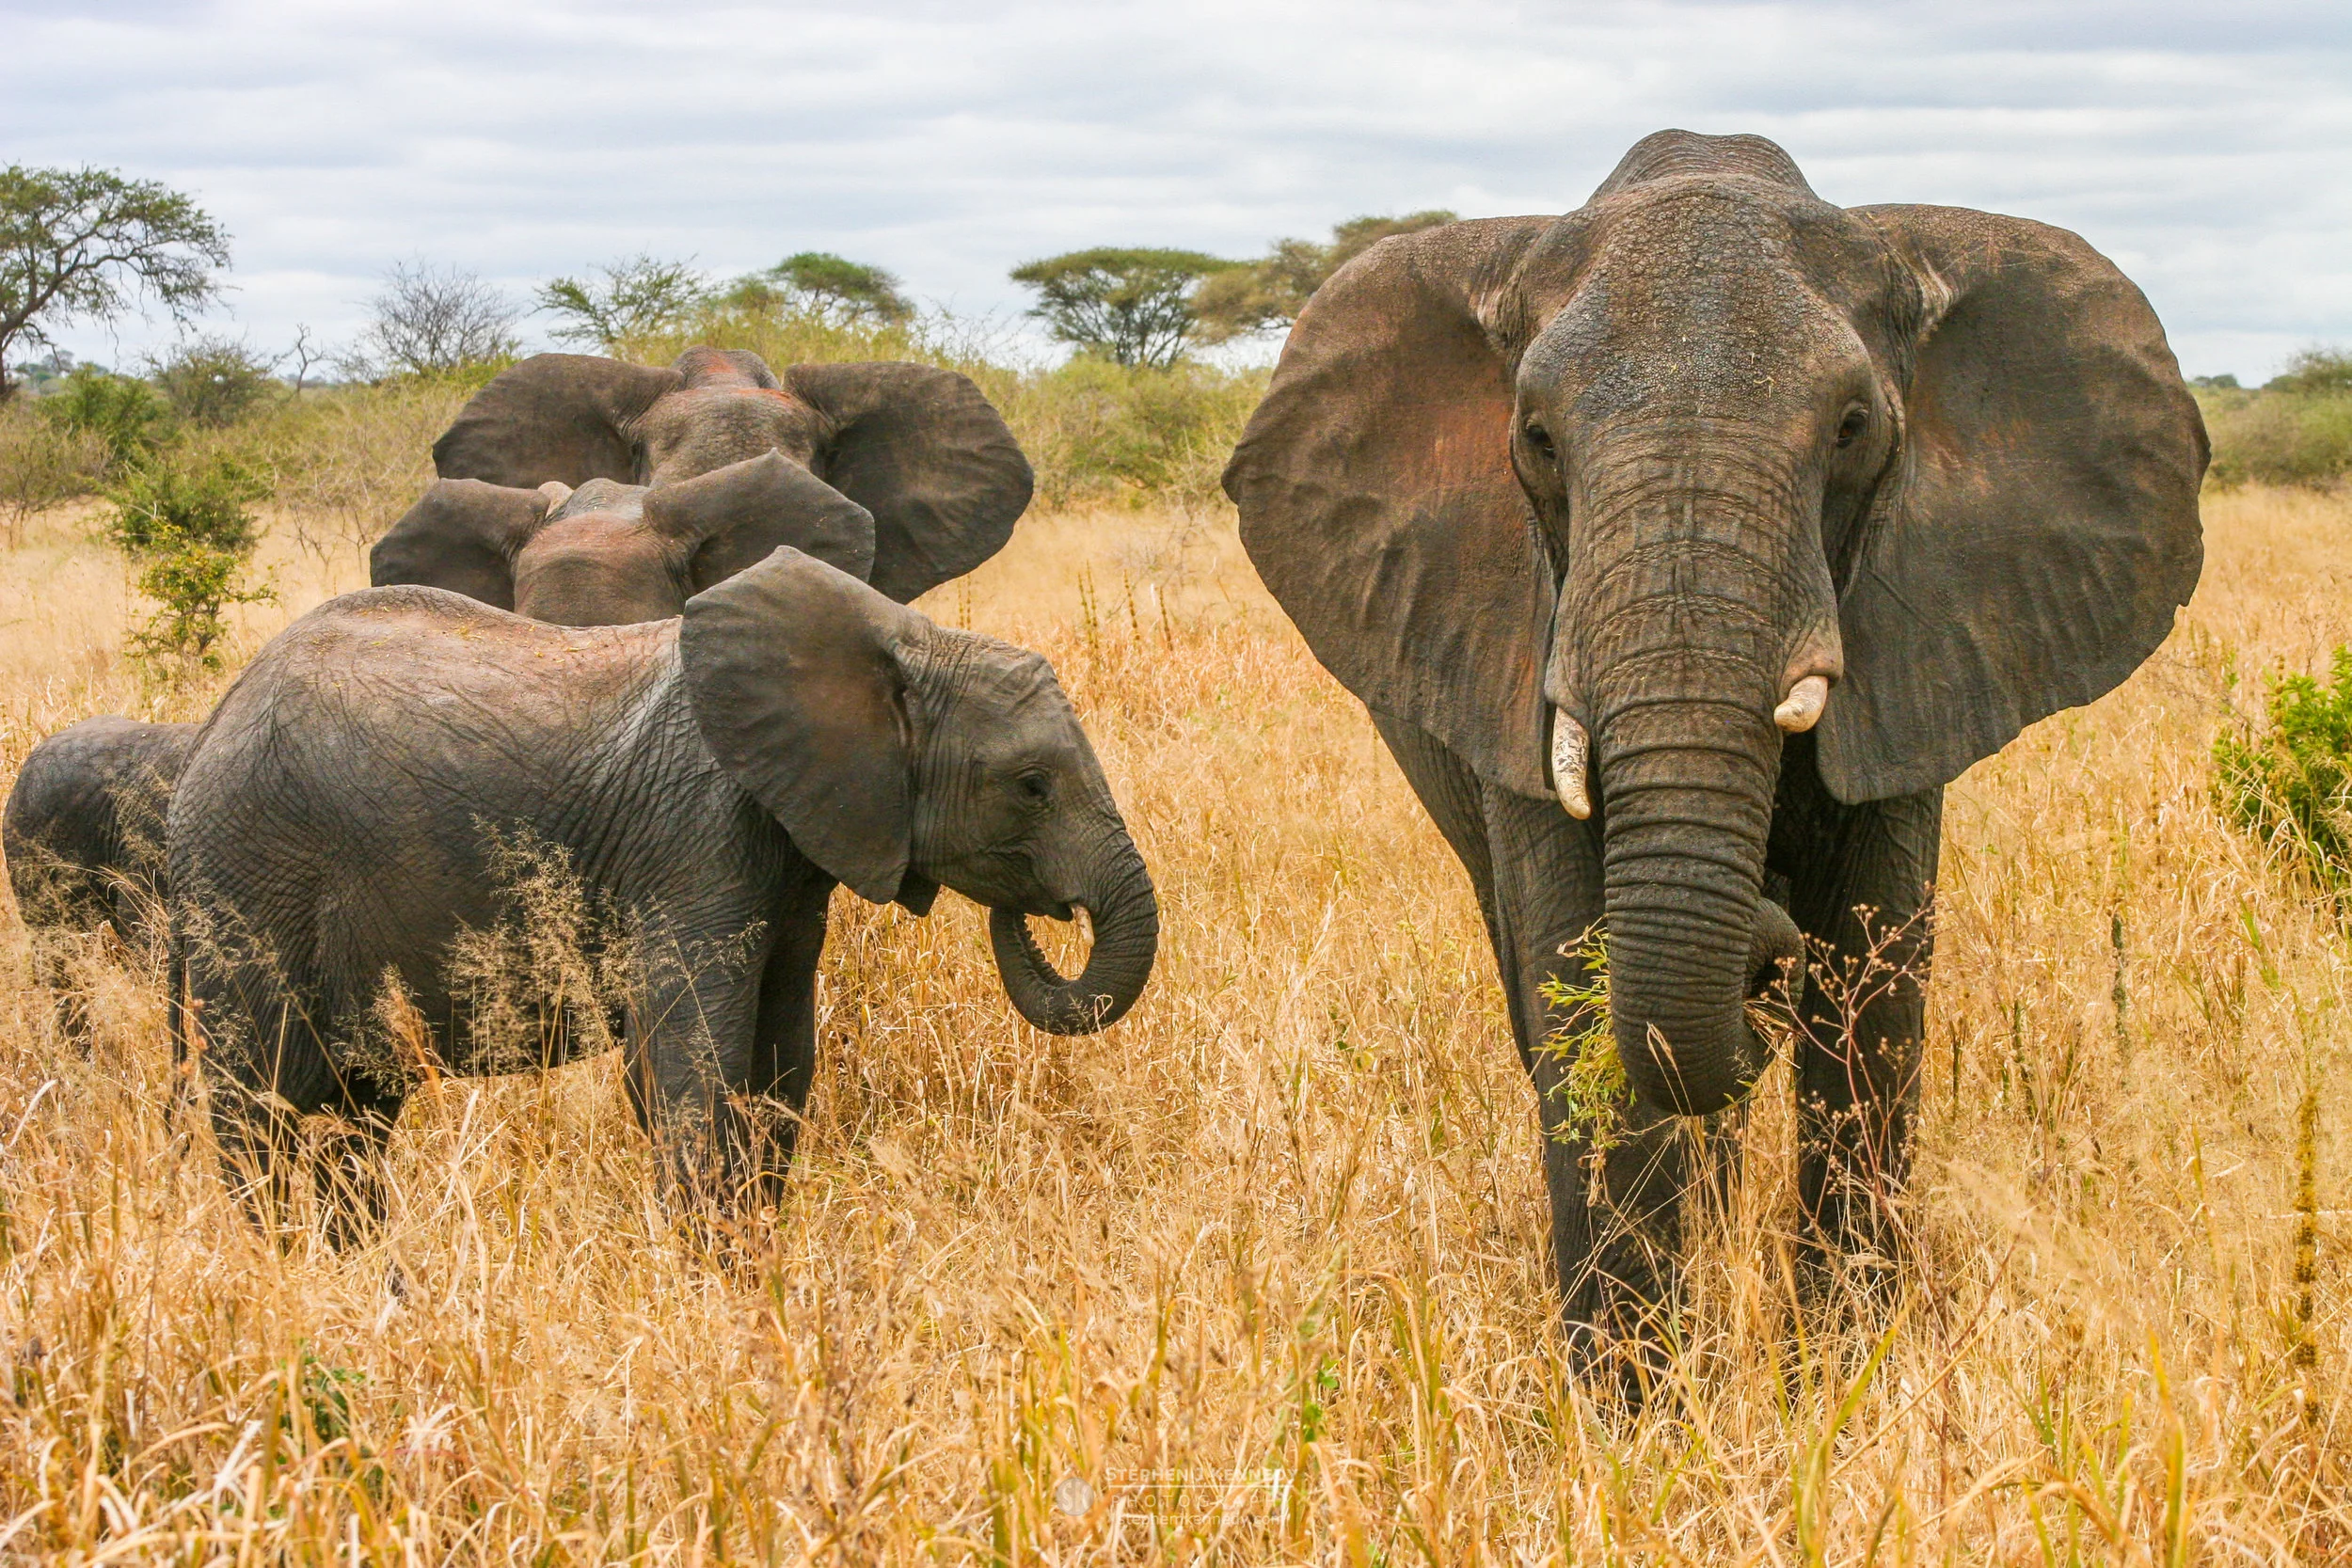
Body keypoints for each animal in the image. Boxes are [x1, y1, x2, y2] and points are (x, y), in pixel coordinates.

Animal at [167, 547, 1157, 1232]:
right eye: (1031, 786)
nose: (1039, 908)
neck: (902, 642)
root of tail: (211, 723)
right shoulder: (696, 841)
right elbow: (693, 1065)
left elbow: (780, 1066)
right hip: (248, 879)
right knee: (260, 1114)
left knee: (350, 1123)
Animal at [1223, 130, 2205, 1377]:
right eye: (1536, 440)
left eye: (1851, 429)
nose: (1761, 941)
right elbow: (1582, 981)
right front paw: (1637, 1406)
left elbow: (1873, 992)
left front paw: (1840, 1383)